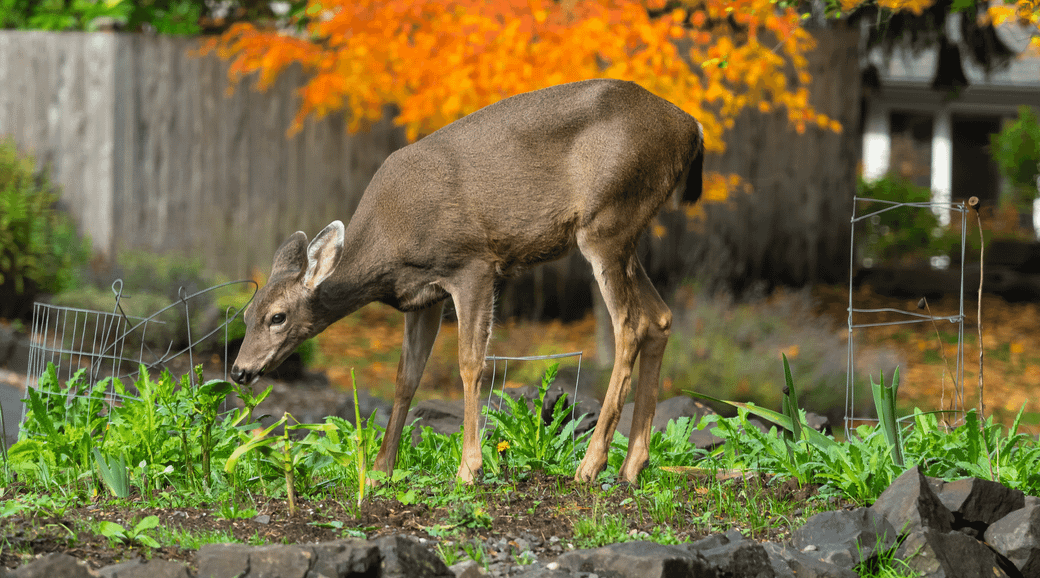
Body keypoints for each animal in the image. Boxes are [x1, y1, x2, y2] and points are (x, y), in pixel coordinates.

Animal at [230, 78, 704, 485]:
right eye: (246, 314)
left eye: (277, 316)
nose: (238, 370)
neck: (388, 246)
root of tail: (690, 127)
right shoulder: (422, 296)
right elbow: (406, 376)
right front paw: (382, 469)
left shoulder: (472, 264)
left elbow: (471, 364)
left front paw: (469, 467)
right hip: (626, 232)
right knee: (660, 317)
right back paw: (632, 466)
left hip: (607, 221)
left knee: (630, 325)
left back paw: (590, 465)